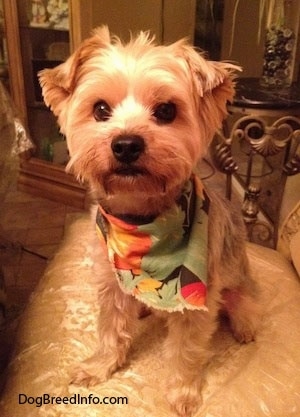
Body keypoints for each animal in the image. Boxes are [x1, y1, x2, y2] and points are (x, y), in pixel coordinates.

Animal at [39, 27, 260, 414]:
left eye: (167, 110)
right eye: (100, 109)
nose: (126, 144)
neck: (141, 221)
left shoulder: (196, 298)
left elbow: (186, 350)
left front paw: (182, 392)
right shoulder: (110, 280)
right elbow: (110, 327)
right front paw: (100, 365)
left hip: (235, 277)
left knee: (240, 299)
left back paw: (244, 322)